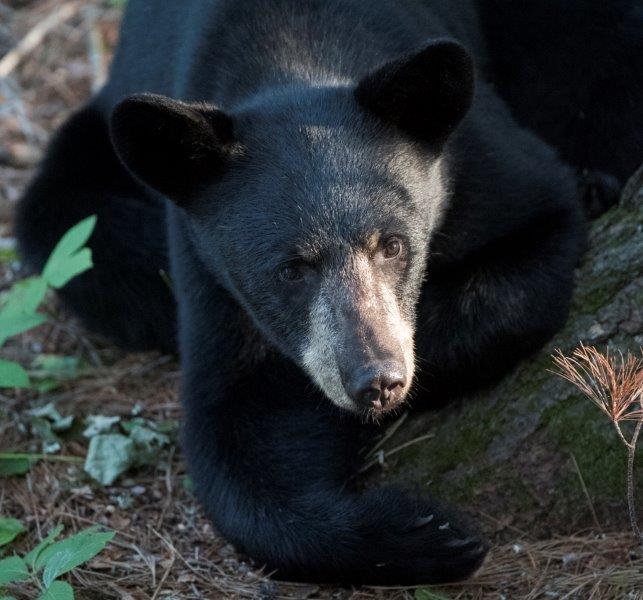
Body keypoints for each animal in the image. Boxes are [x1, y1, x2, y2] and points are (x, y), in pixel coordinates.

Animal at [14, 0, 641, 586]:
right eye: (290, 269)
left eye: (393, 244)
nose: (377, 381)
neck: (292, 49)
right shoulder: (207, 269)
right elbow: (231, 431)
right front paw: (424, 531)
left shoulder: (481, 161)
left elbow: (538, 228)